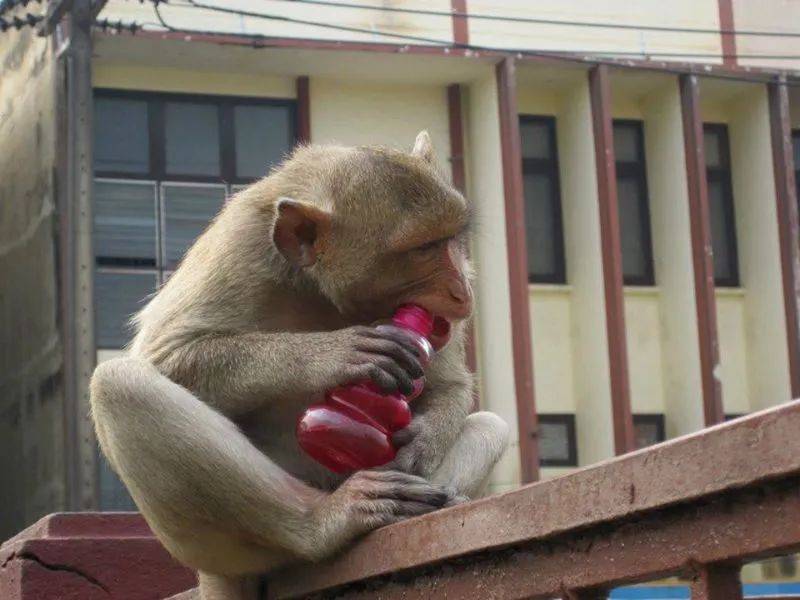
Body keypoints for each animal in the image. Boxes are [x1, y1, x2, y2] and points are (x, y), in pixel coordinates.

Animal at [90, 132, 510, 600]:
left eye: (453, 240)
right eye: (422, 249)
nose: (462, 290)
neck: (317, 286)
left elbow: (449, 386)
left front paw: (420, 440)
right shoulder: (240, 248)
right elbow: (165, 354)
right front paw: (335, 354)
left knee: (490, 425)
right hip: (220, 549)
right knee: (120, 384)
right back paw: (324, 522)